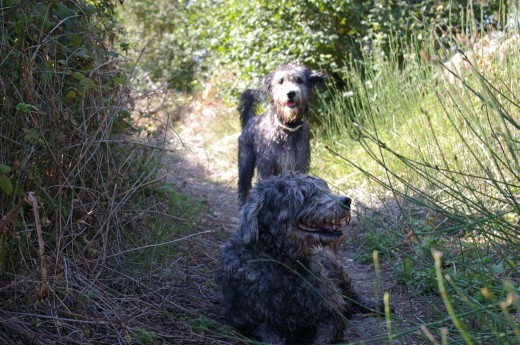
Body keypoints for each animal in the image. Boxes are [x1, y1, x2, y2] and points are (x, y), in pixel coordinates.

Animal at [237, 63, 324, 204]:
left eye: (299, 80)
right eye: (281, 81)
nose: (291, 93)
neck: (287, 129)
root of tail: (251, 119)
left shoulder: (298, 166)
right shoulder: (267, 168)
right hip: (245, 164)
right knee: (243, 189)